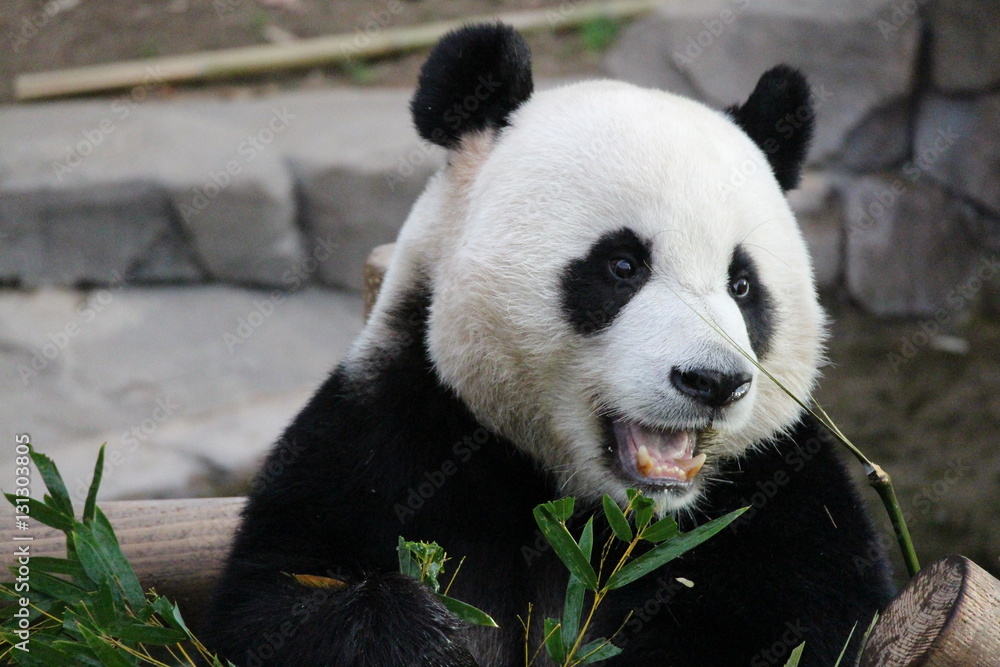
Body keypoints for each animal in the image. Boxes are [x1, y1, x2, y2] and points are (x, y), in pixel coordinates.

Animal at [204, 23, 894, 667]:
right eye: (622, 265)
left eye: (743, 284)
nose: (714, 382)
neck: (599, 512)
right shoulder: (391, 432)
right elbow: (272, 596)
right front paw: (417, 636)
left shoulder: (775, 491)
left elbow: (809, 621)